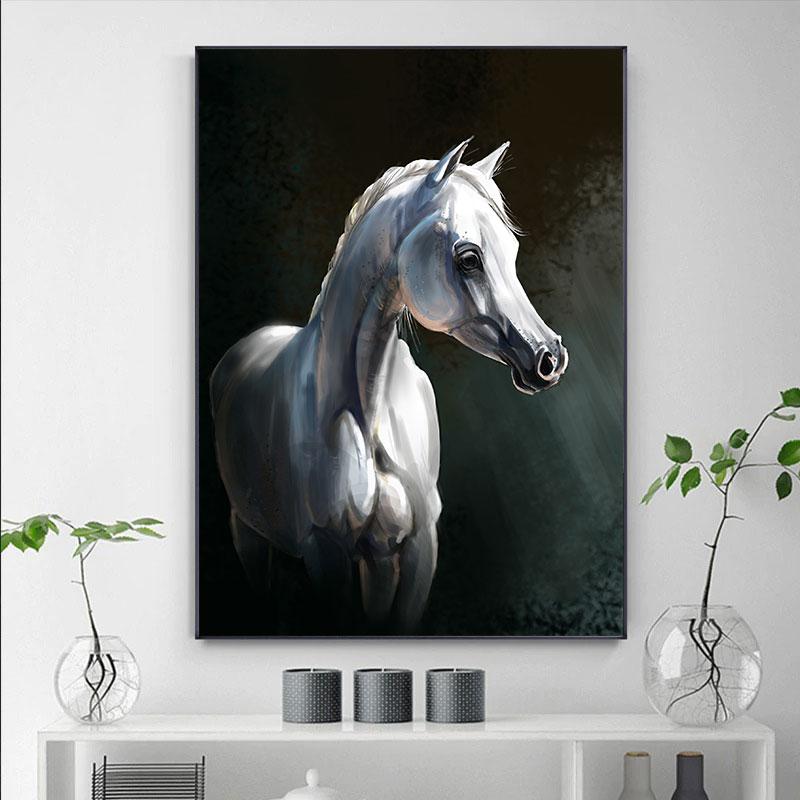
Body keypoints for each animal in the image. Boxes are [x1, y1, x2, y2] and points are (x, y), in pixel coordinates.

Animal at [210, 140, 568, 633]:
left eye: (512, 250)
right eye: (469, 258)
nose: (549, 357)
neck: (366, 412)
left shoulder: (412, 550)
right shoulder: (326, 552)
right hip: (248, 534)